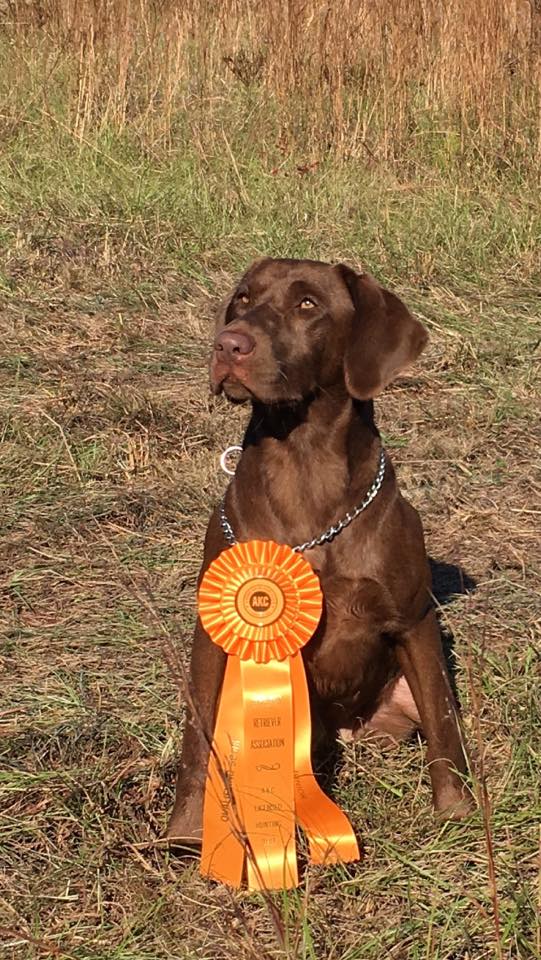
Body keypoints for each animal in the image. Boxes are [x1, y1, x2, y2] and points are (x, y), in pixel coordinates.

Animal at [167, 256, 470, 840]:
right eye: (242, 299)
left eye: (308, 304)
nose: (227, 344)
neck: (304, 465)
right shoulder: (212, 635)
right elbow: (200, 739)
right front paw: (187, 831)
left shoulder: (413, 618)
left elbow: (445, 728)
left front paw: (457, 814)